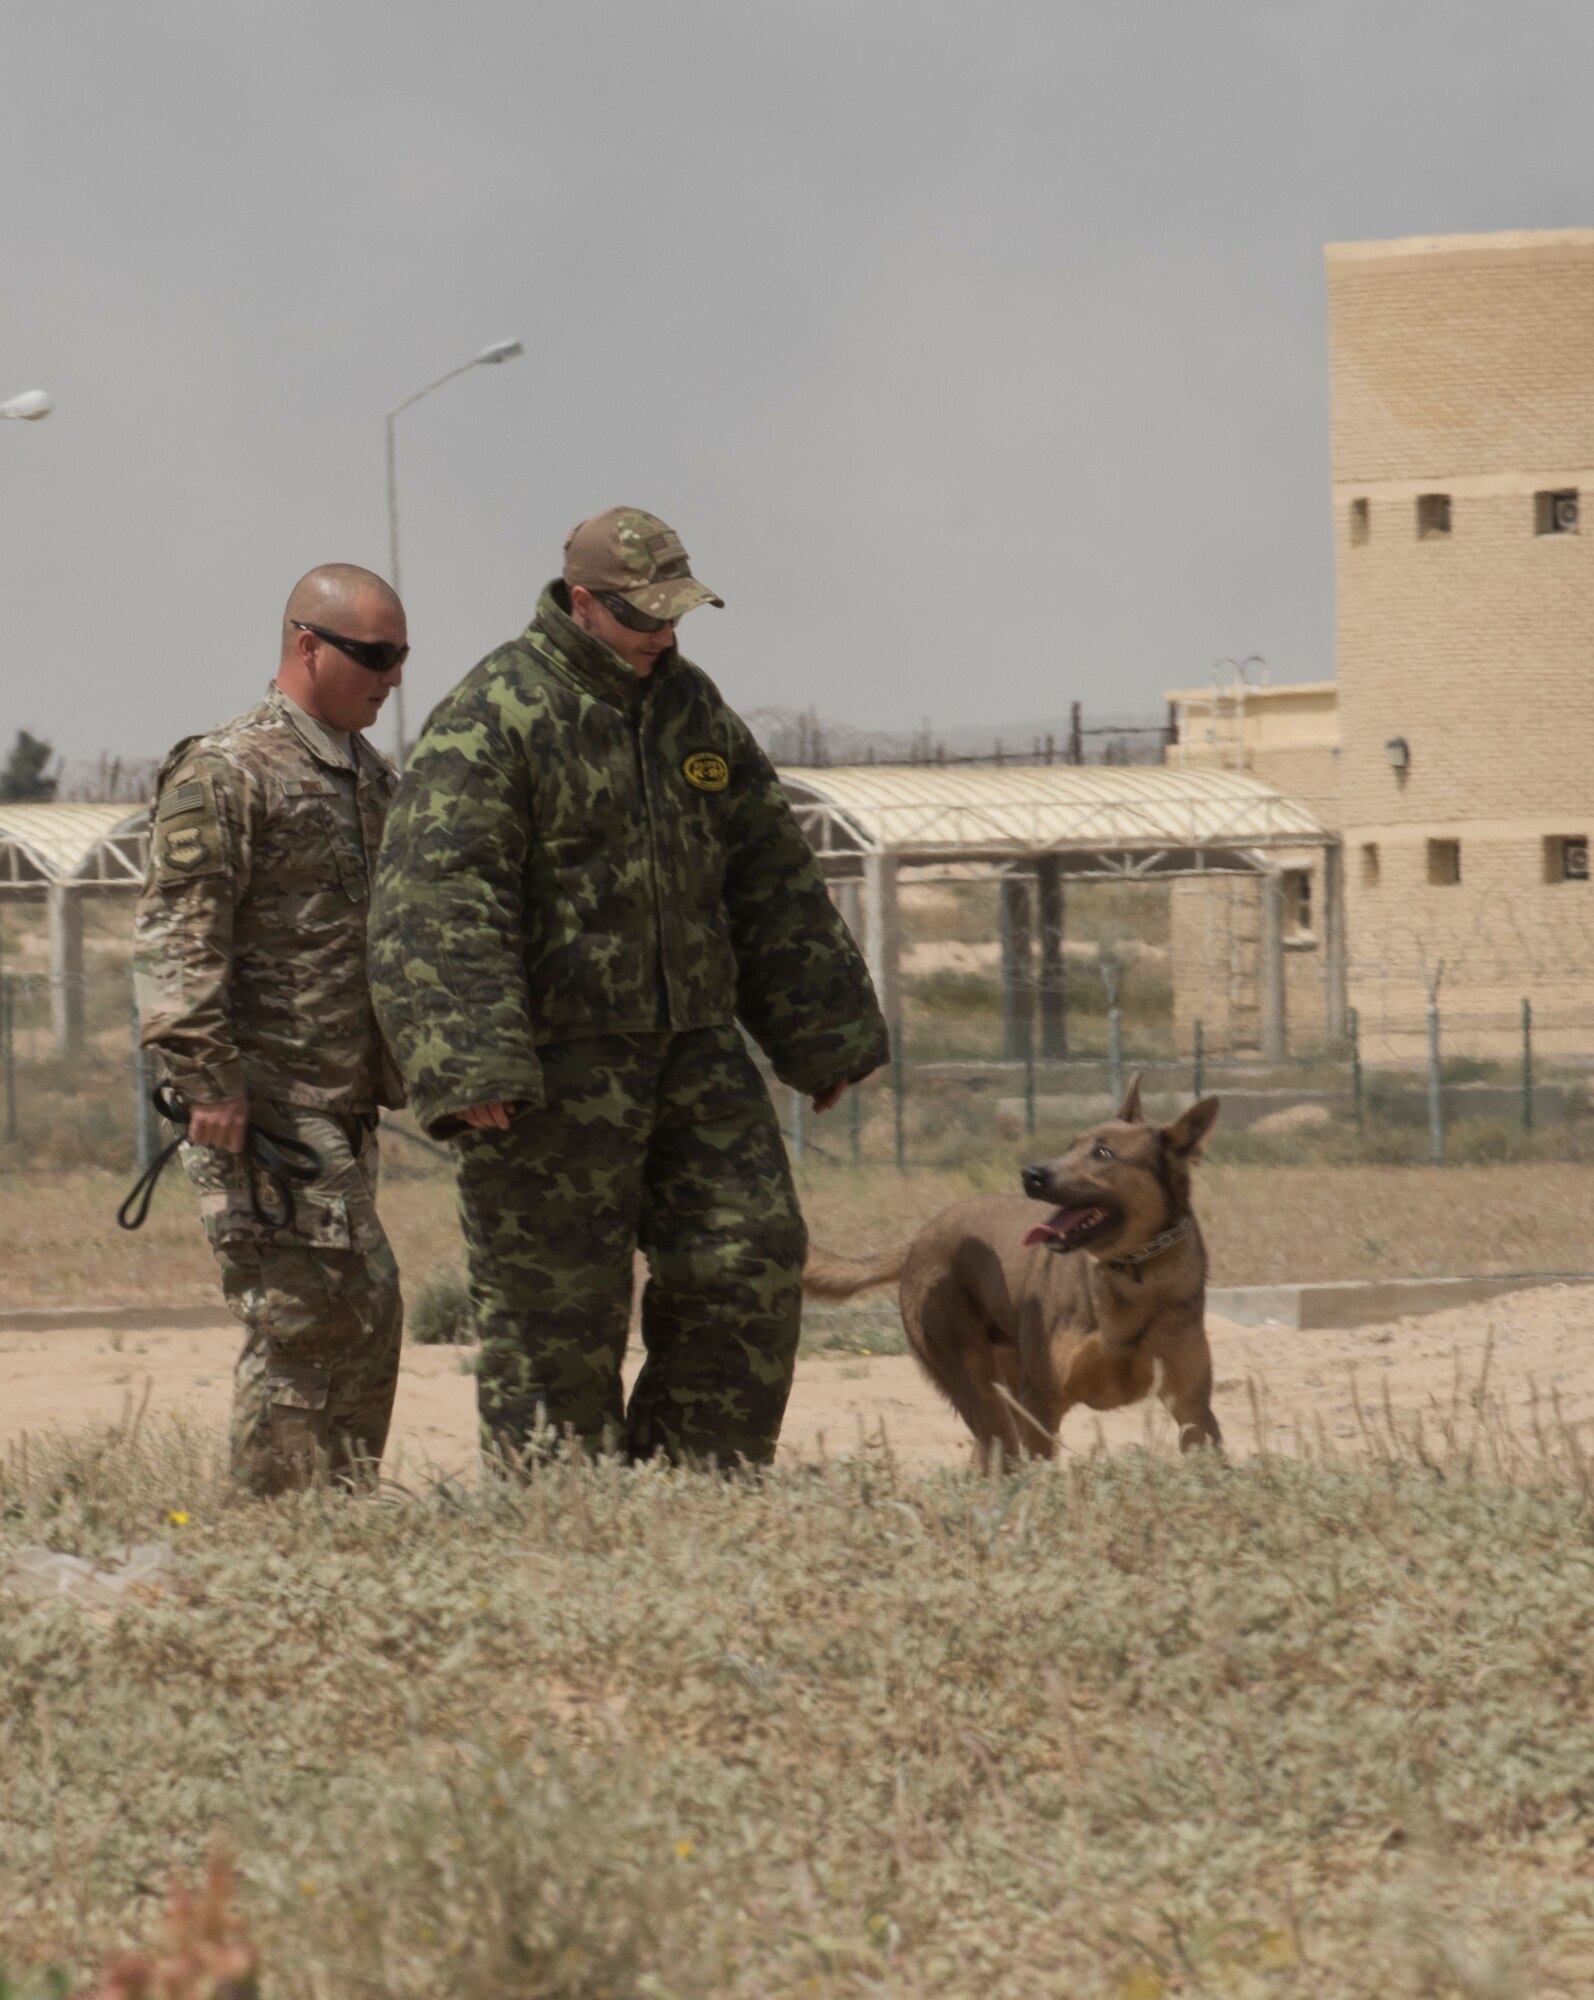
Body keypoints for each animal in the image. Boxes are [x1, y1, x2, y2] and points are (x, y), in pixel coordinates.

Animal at [804, 1080, 1224, 1472]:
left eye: (1103, 1153)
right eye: (1069, 1146)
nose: (1031, 1174)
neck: (1133, 1272)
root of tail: (920, 1239)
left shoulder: (1193, 1408)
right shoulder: (1042, 1403)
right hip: (977, 1384)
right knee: (999, 1453)